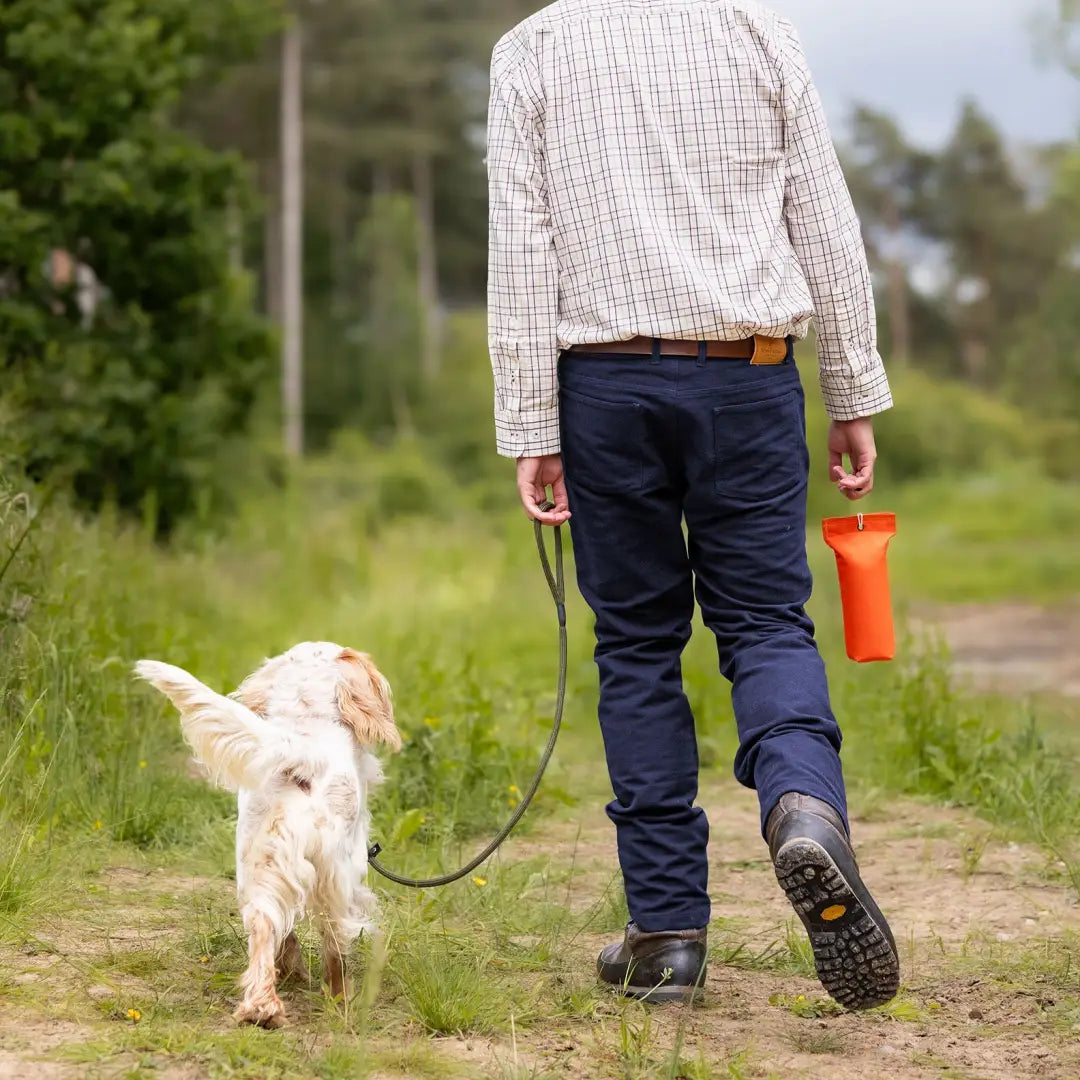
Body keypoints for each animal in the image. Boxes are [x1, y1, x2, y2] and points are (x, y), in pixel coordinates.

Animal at [135, 643, 401, 1023]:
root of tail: (299, 759)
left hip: (258, 864)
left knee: (264, 924)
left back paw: (262, 1007)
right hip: (335, 875)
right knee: (334, 941)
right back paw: (338, 998)